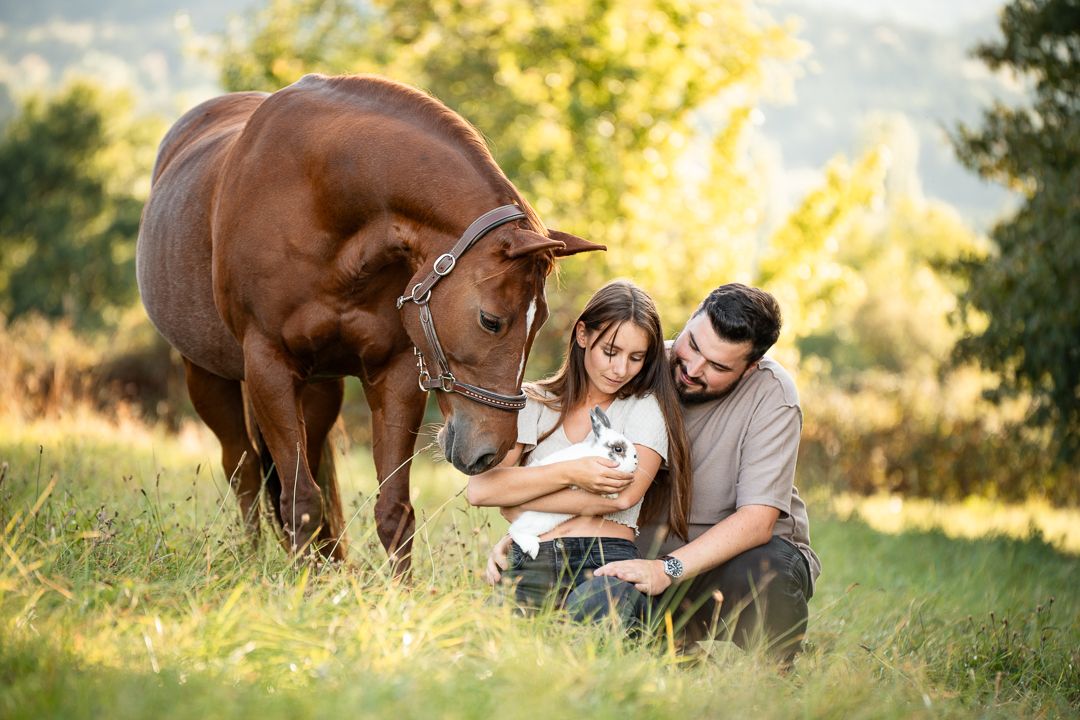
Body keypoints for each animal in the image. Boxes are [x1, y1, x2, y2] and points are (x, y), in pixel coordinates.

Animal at [136, 74, 603, 565]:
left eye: (540, 322)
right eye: (491, 321)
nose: (492, 451)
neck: (319, 196)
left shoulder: (394, 371)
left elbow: (393, 509)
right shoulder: (268, 366)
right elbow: (299, 499)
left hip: (319, 388)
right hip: (206, 376)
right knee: (243, 470)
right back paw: (253, 558)